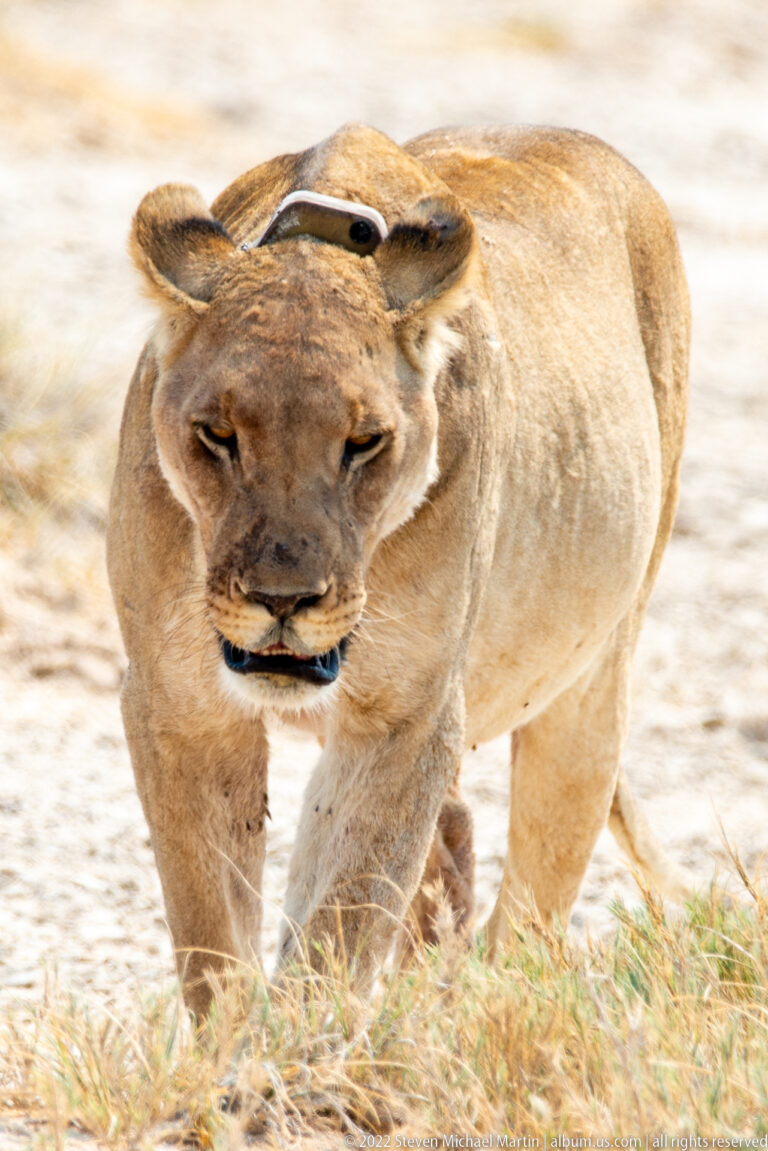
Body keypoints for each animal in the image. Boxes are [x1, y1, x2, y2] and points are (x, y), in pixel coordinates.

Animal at [107, 123, 691, 1016]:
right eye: (217, 434)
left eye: (364, 441)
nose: (283, 599)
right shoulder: (177, 703)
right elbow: (214, 933)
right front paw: (241, 1042)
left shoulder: (405, 710)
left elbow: (341, 917)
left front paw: (300, 1044)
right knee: (451, 848)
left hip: (592, 681)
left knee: (528, 915)